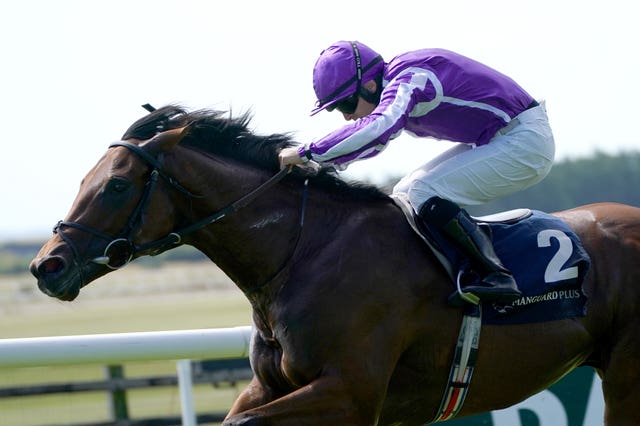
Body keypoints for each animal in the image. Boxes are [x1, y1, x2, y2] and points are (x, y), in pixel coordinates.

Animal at [31, 105, 640, 424]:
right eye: (84, 179)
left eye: (115, 185)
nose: (47, 267)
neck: (302, 252)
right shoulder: (271, 386)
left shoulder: (349, 392)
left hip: (625, 375)